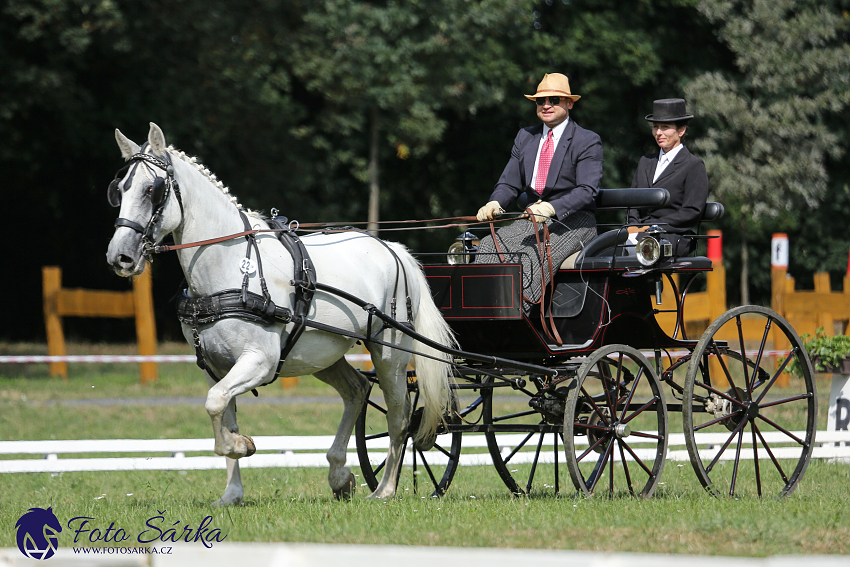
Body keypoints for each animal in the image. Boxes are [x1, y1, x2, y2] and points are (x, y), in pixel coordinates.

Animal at [104, 122, 458, 504]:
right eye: (120, 189)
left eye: (151, 190)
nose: (119, 256)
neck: (232, 268)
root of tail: (391, 248)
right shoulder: (215, 368)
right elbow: (223, 412)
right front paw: (233, 489)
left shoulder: (259, 361)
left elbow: (215, 404)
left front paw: (240, 446)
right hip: (323, 354)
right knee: (357, 390)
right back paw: (339, 475)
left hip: (389, 352)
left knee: (399, 415)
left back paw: (385, 489)